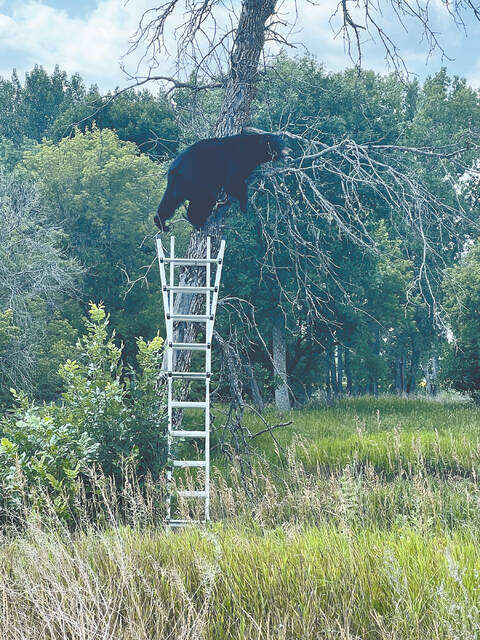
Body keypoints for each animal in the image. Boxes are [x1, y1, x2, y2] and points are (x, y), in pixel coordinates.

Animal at [154, 132, 290, 231]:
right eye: (281, 143)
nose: (290, 150)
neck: (251, 151)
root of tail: (174, 169)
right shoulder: (235, 161)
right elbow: (234, 181)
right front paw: (243, 205)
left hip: (177, 185)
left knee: (169, 202)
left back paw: (161, 223)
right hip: (198, 180)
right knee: (203, 200)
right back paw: (199, 220)